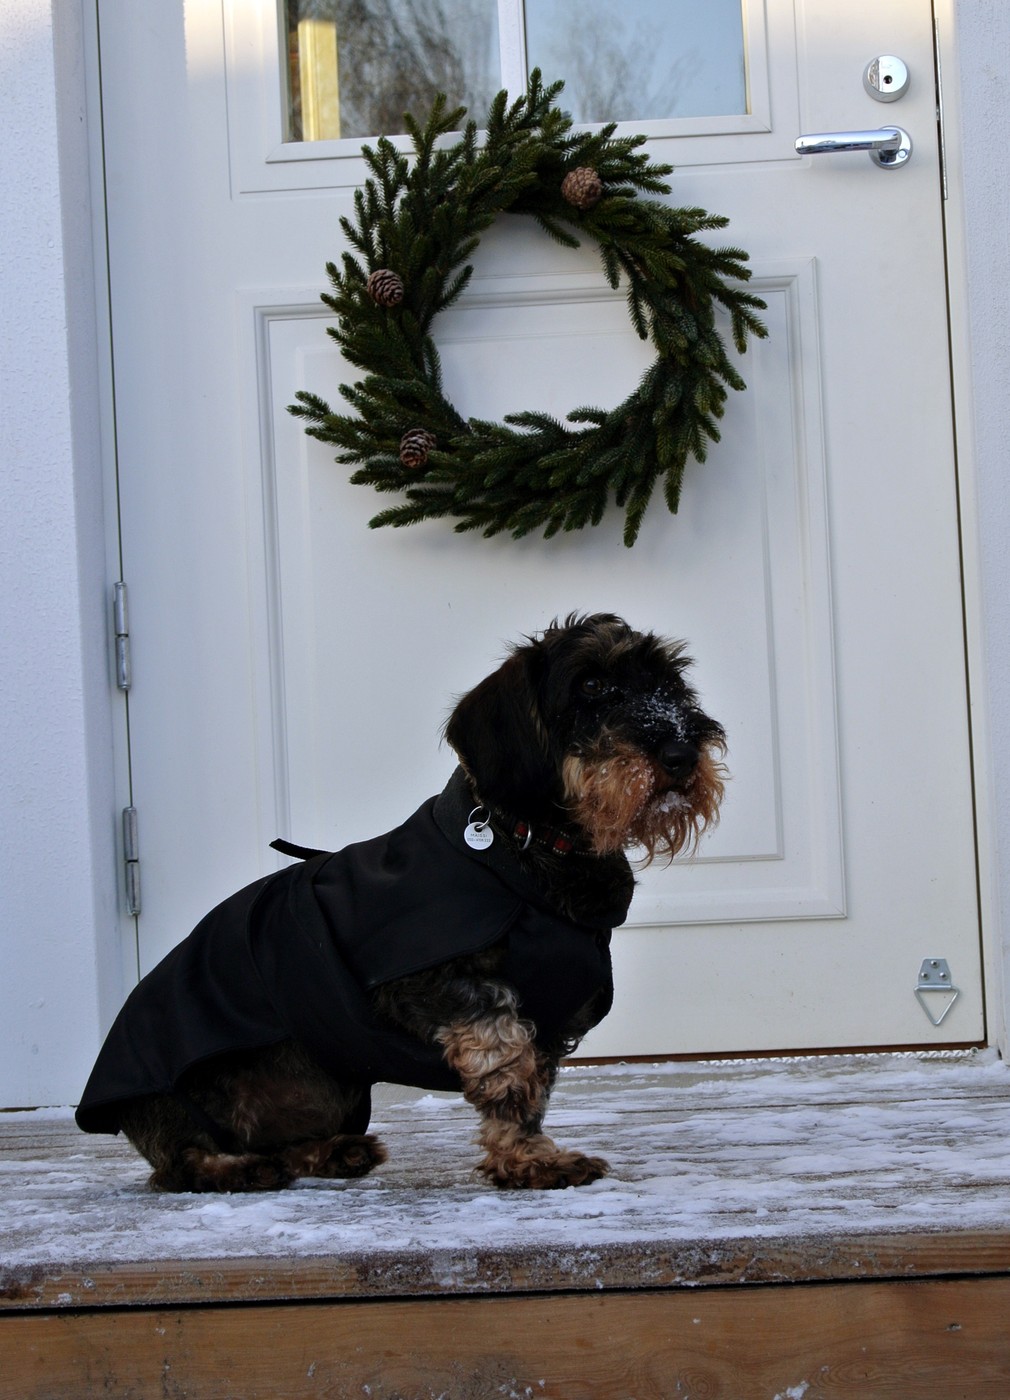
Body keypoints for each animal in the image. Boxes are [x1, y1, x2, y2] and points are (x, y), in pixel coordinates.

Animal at [75, 614, 725, 1192]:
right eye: (590, 685)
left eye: (670, 683)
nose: (681, 754)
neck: (527, 853)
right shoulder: (428, 983)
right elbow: (506, 1061)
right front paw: (529, 1159)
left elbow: (531, 1088)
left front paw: (526, 1157)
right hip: (190, 1093)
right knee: (177, 1165)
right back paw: (238, 1170)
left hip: (332, 1091)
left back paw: (332, 1152)